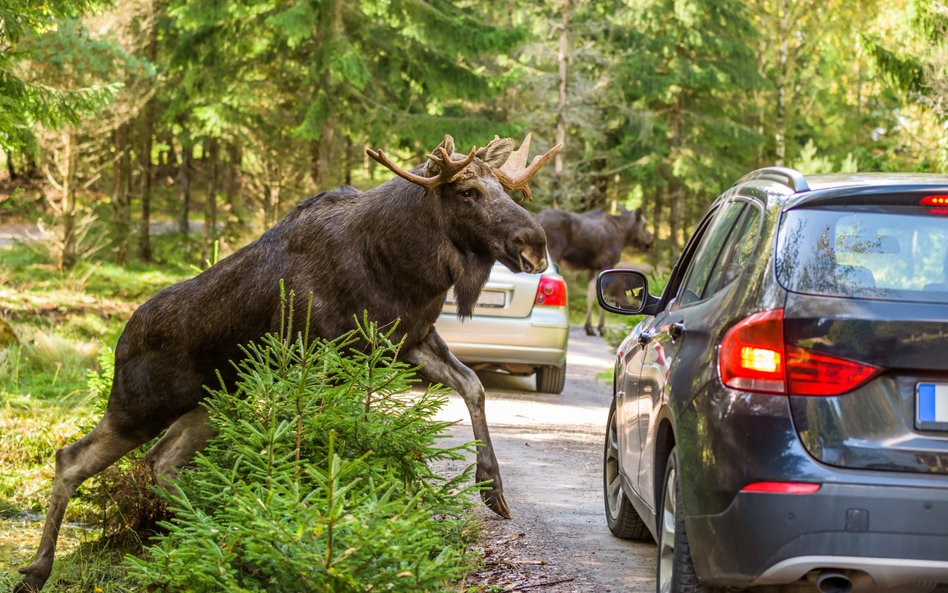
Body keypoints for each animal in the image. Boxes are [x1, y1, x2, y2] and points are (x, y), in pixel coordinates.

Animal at [14, 134, 560, 592]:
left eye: (506, 189)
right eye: (467, 191)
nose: (535, 243)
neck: (404, 266)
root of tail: (119, 341)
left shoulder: (409, 340)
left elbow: (473, 387)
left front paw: (491, 487)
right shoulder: (324, 355)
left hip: (209, 405)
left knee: (161, 460)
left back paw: (215, 525)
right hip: (140, 405)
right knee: (71, 459)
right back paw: (39, 570)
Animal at [536, 207, 656, 338]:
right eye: (645, 224)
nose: (651, 241)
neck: (624, 235)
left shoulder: (592, 268)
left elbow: (591, 295)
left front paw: (589, 327)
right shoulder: (607, 263)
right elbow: (604, 294)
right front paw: (601, 328)